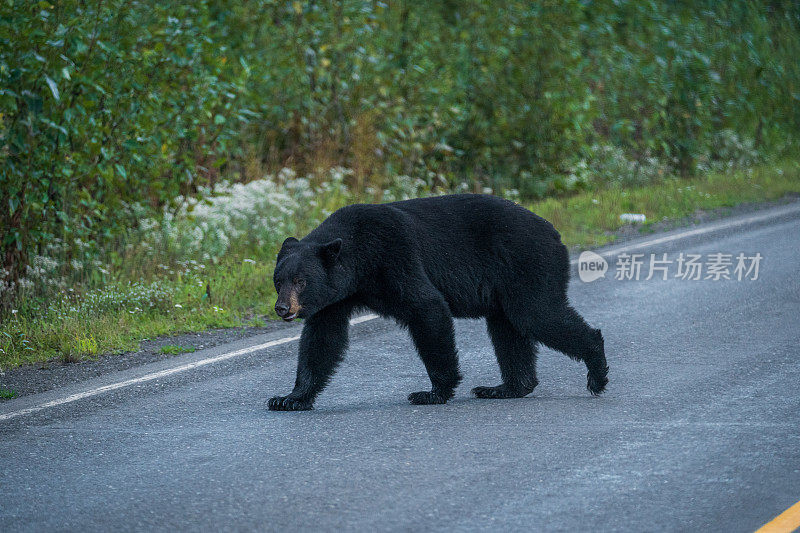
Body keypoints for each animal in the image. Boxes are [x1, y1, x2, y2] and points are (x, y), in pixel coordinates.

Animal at [268, 193, 608, 410]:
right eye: (278, 280)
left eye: (301, 281)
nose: (283, 308)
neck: (360, 260)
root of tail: (555, 233)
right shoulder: (337, 296)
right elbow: (323, 339)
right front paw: (288, 398)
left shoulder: (395, 258)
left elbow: (427, 307)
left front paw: (432, 392)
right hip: (506, 286)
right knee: (508, 330)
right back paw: (503, 388)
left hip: (527, 264)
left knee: (537, 315)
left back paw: (597, 373)